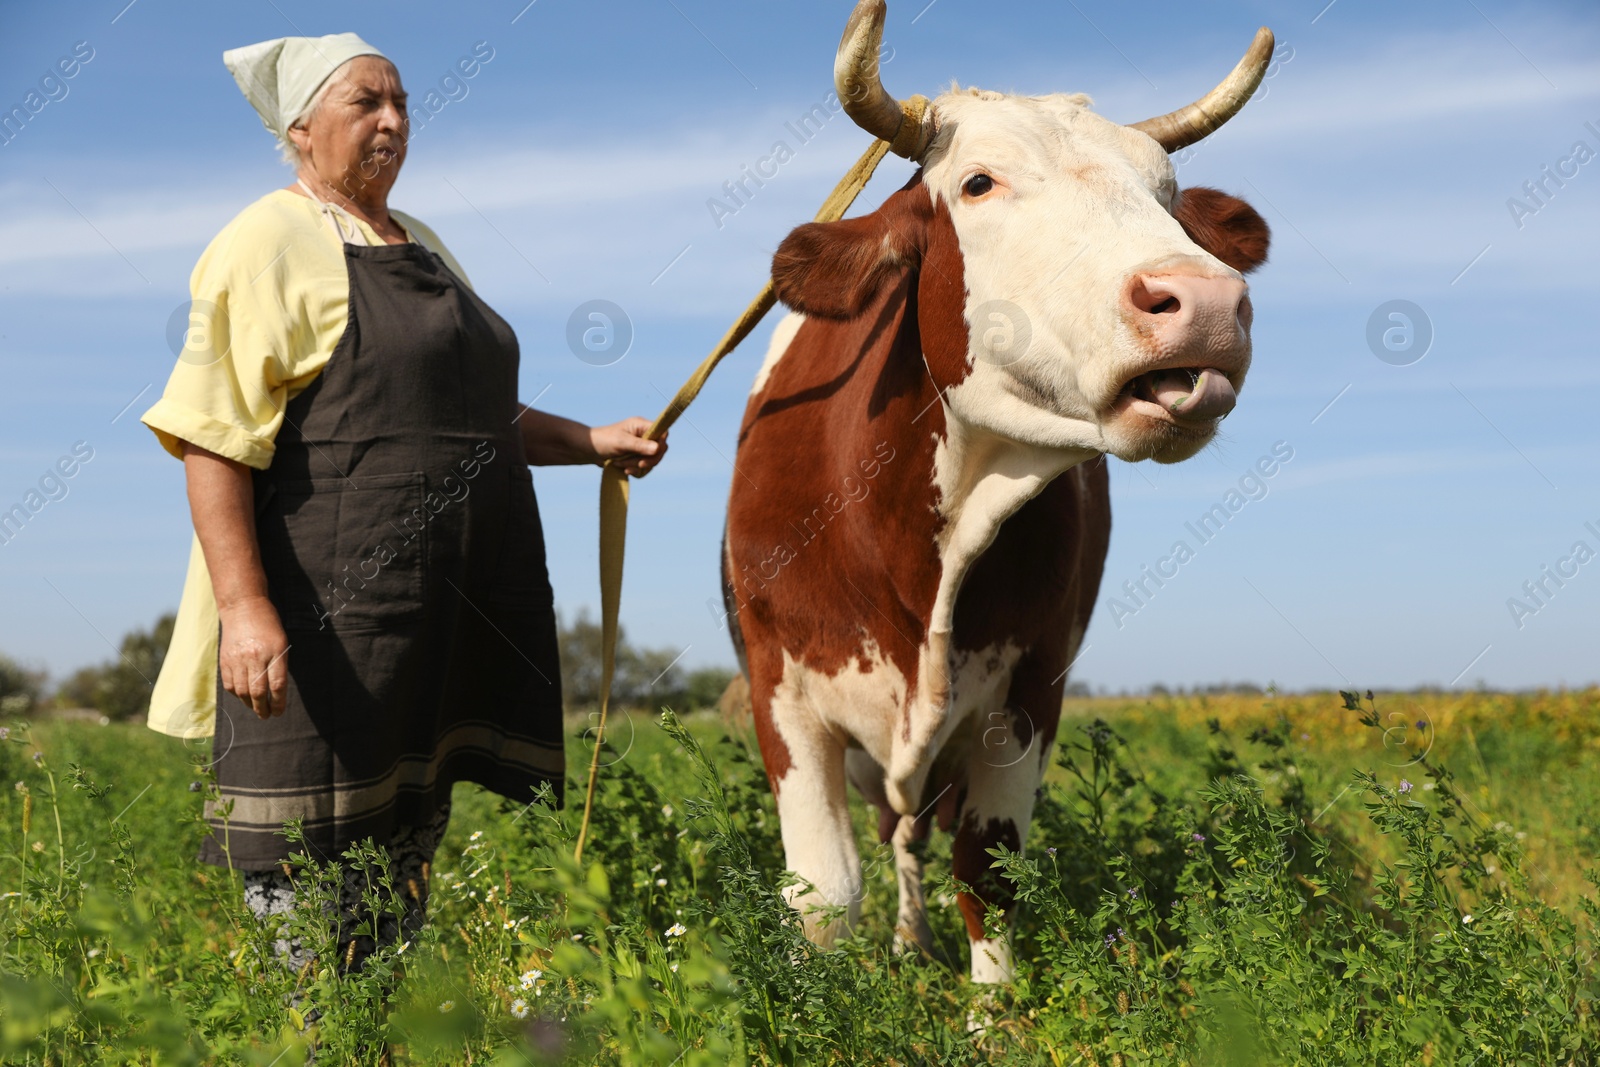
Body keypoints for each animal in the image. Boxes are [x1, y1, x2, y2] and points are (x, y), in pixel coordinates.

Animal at [726, 0, 1273, 985]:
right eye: (978, 183)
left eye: (1168, 193)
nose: (1209, 304)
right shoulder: (779, 688)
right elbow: (823, 893)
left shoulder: (1030, 688)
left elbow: (988, 867)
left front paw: (994, 1008)